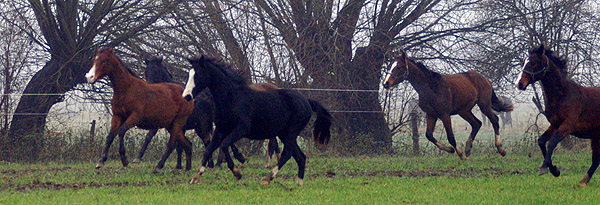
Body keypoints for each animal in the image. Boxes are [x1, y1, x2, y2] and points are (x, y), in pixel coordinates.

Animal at [184, 54, 332, 186]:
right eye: (189, 74)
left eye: (197, 75)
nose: (186, 96)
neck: (232, 98)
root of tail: (306, 100)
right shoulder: (220, 130)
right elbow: (208, 150)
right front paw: (195, 177)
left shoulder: (241, 129)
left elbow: (224, 145)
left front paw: (237, 173)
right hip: (284, 134)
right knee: (300, 157)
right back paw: (299, 183)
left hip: (291, 133)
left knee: (287, 154)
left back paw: (267, 178)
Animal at [516, 44, 600, 187]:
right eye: (524, 62)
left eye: (533, 62)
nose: (519, 84)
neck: (562, 95)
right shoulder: (555, 124)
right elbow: (541, 141)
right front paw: (555, 170)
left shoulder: (567, 126)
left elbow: (552, 143)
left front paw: (544, 168)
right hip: (595, 136)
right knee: (596, 160)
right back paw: (583, 182)